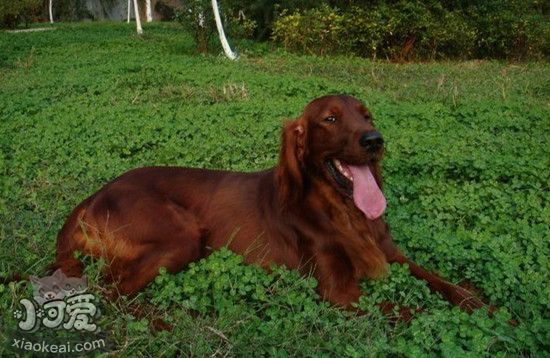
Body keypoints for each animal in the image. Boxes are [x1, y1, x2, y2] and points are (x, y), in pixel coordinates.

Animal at [52, 96, 488, 314]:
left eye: (367, 116)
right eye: (330, 119)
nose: (374, 140)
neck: (343, 211)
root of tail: (94, 196)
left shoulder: (391, 255)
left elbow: (435, 279)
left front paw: (479, 302)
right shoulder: (339, 291)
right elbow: (407, 310)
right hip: (181, 236)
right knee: (109, 291)